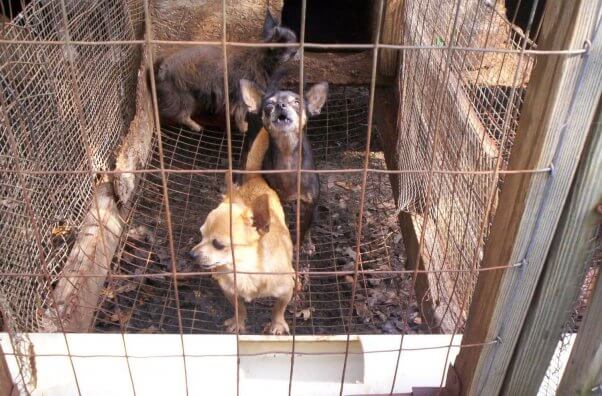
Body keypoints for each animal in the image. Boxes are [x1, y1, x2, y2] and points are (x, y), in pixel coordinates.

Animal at [154, 8, 296, 133]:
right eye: (286, 46)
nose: (296, 51)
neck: (262, 60)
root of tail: (163, 67)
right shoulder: (240, 96)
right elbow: (240, 114)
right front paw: (243, 127)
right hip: (184, 98)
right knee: (181, 116)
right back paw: (196, 126)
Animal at [188, 127, 290, 334]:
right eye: (201, 235)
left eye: (218, 244)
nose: (191, 254)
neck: (246, 270)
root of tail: (253, 177)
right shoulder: (230, 291)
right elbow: (239, 306)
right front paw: (238, 321)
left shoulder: (288, 289)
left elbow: (279, 307)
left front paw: (276, 323)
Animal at [238, 77, 328, 244]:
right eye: (268, 106)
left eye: (297, 102)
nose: (281, 105)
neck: (288, 156)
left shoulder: (309, 205)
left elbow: (303, 230)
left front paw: (302, 243)